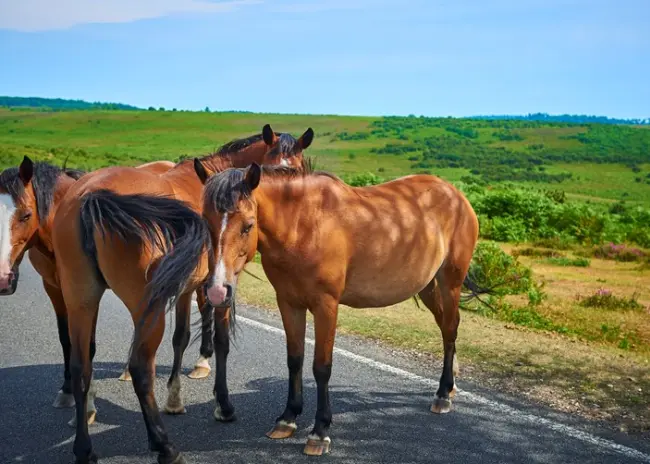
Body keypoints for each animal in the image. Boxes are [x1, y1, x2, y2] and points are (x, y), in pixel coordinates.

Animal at [0, 124, 313, 425]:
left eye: (295, 170)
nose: (4, 278)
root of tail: (90, 197)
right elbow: (212, 339)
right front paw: (220, 405)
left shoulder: (190, 285)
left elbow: (180, 336)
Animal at [190, 158, 479, 456]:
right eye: (207, 223)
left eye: (248, 226)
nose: (217, 291)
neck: (304, 225)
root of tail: (455, 195)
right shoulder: (289, 303)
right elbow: (294, 359)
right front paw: (287, 418)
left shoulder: (326, 306)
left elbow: (322, 367)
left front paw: (319, 432)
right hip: (427, 285)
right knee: (446, 327)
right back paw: (451, 386)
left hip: (450, 283)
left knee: (450, 330)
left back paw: (443, 394)